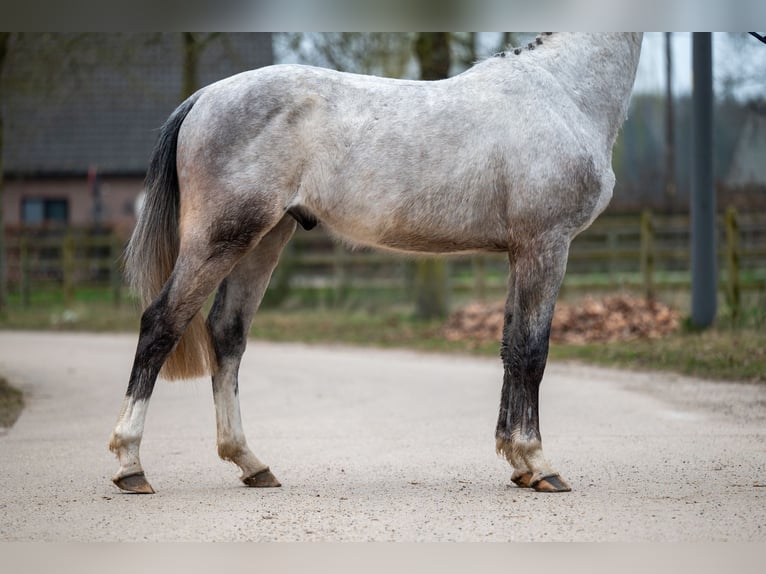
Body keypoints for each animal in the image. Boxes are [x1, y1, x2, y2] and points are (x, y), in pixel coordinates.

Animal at [108, 33, 644, 498]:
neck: (561, 90)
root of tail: (203, 98)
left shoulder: (520, 253)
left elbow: (512, 349)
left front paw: (517, 462)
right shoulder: (546, 245)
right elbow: (533, 354)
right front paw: (539, 463)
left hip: (263, 240)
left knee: (226, 335)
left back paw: (251, 463)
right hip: (220, 238)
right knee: (162, 323)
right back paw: (131, 465)